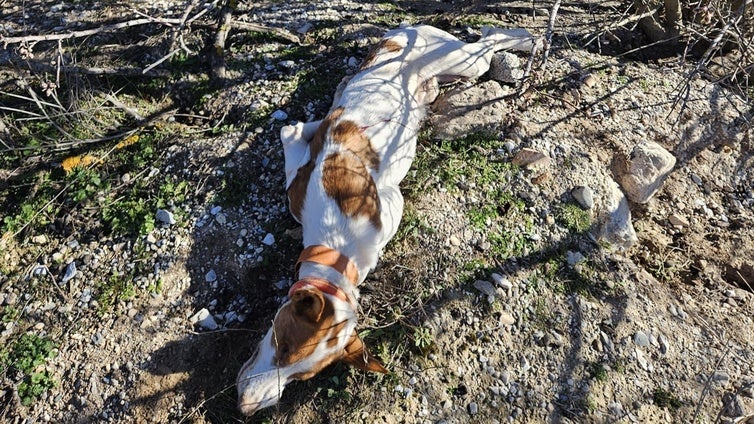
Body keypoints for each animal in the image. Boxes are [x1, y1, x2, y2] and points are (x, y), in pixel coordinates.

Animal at [235, 23, 536, 414]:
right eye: (280, 344)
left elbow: (299, 131)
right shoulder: (298, 178)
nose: (245, 407)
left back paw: (523, 38)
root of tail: (407, 28)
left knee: (489, 42)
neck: (338, 246)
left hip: (465, 62)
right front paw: (323, 116)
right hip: (451, 70)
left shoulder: (389, 200)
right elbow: (295, 128)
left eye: (297, 373)